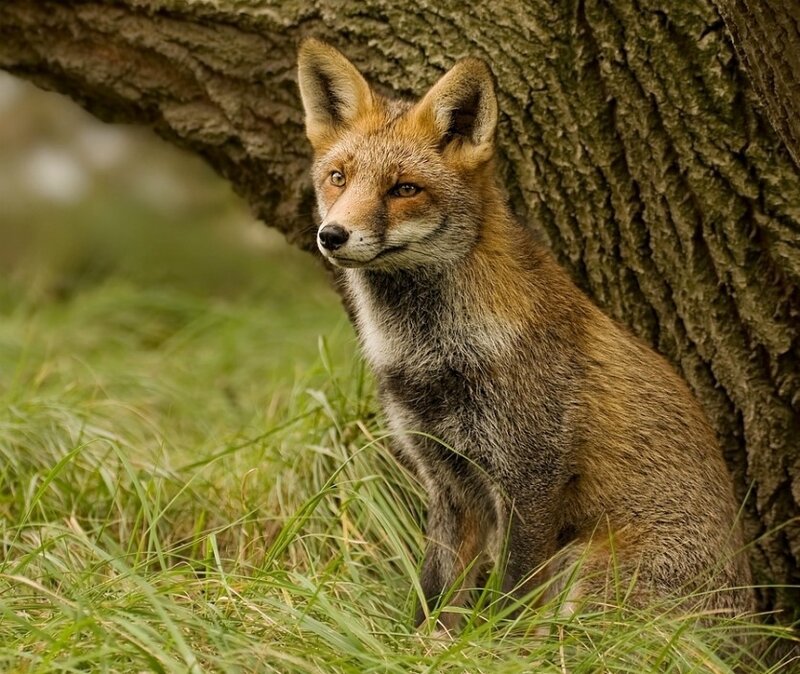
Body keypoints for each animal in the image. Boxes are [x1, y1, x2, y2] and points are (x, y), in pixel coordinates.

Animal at [296, 38, 754, 630]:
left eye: (404, 189)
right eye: (339, 177)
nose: (332, 235)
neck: (434, 354)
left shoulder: (532, 477)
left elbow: (512, 595)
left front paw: (491, 642)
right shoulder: (447, 477)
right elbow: (436, 589)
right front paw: (422, 639)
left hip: (589, 561)